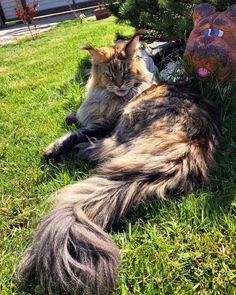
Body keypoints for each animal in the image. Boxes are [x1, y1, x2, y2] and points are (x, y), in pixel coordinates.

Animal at [18, 79, 221, 295]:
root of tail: (190, 146)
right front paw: (72, 116)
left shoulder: (106, 122)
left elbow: (79, 131)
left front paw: (54, 147)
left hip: (127, 120)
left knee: (105, 148)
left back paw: (81, 149)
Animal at [43, 34, 157, 162]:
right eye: (109, 75)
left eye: (126, 73)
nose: (119, 85)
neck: (108, 98)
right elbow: (81, 113)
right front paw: (71, 116)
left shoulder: (103, 125)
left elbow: (76, 134)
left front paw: (52, 150)